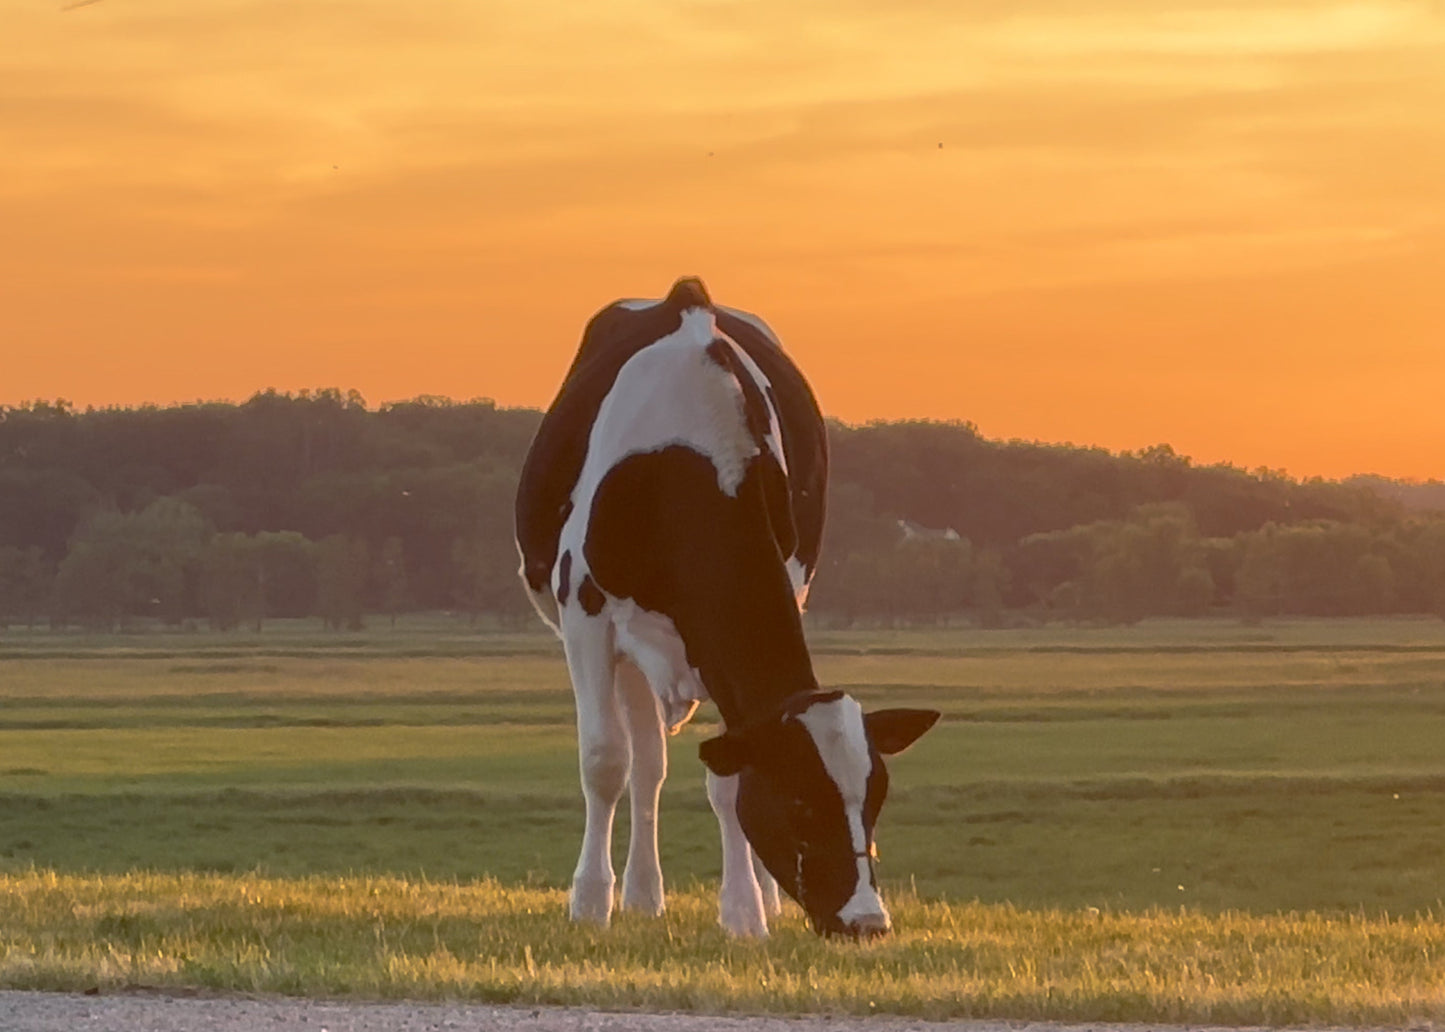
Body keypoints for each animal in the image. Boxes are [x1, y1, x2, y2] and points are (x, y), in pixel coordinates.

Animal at [514, 277, 939, 938]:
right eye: (798, 800)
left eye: (874, 801)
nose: (867, 921)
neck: (694, 451)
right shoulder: (584, 615)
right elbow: (604, 760)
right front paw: (588, 903)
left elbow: (728, 774)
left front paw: (744, 911)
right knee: (645, 765)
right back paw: (640, 894)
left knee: (656, 762)